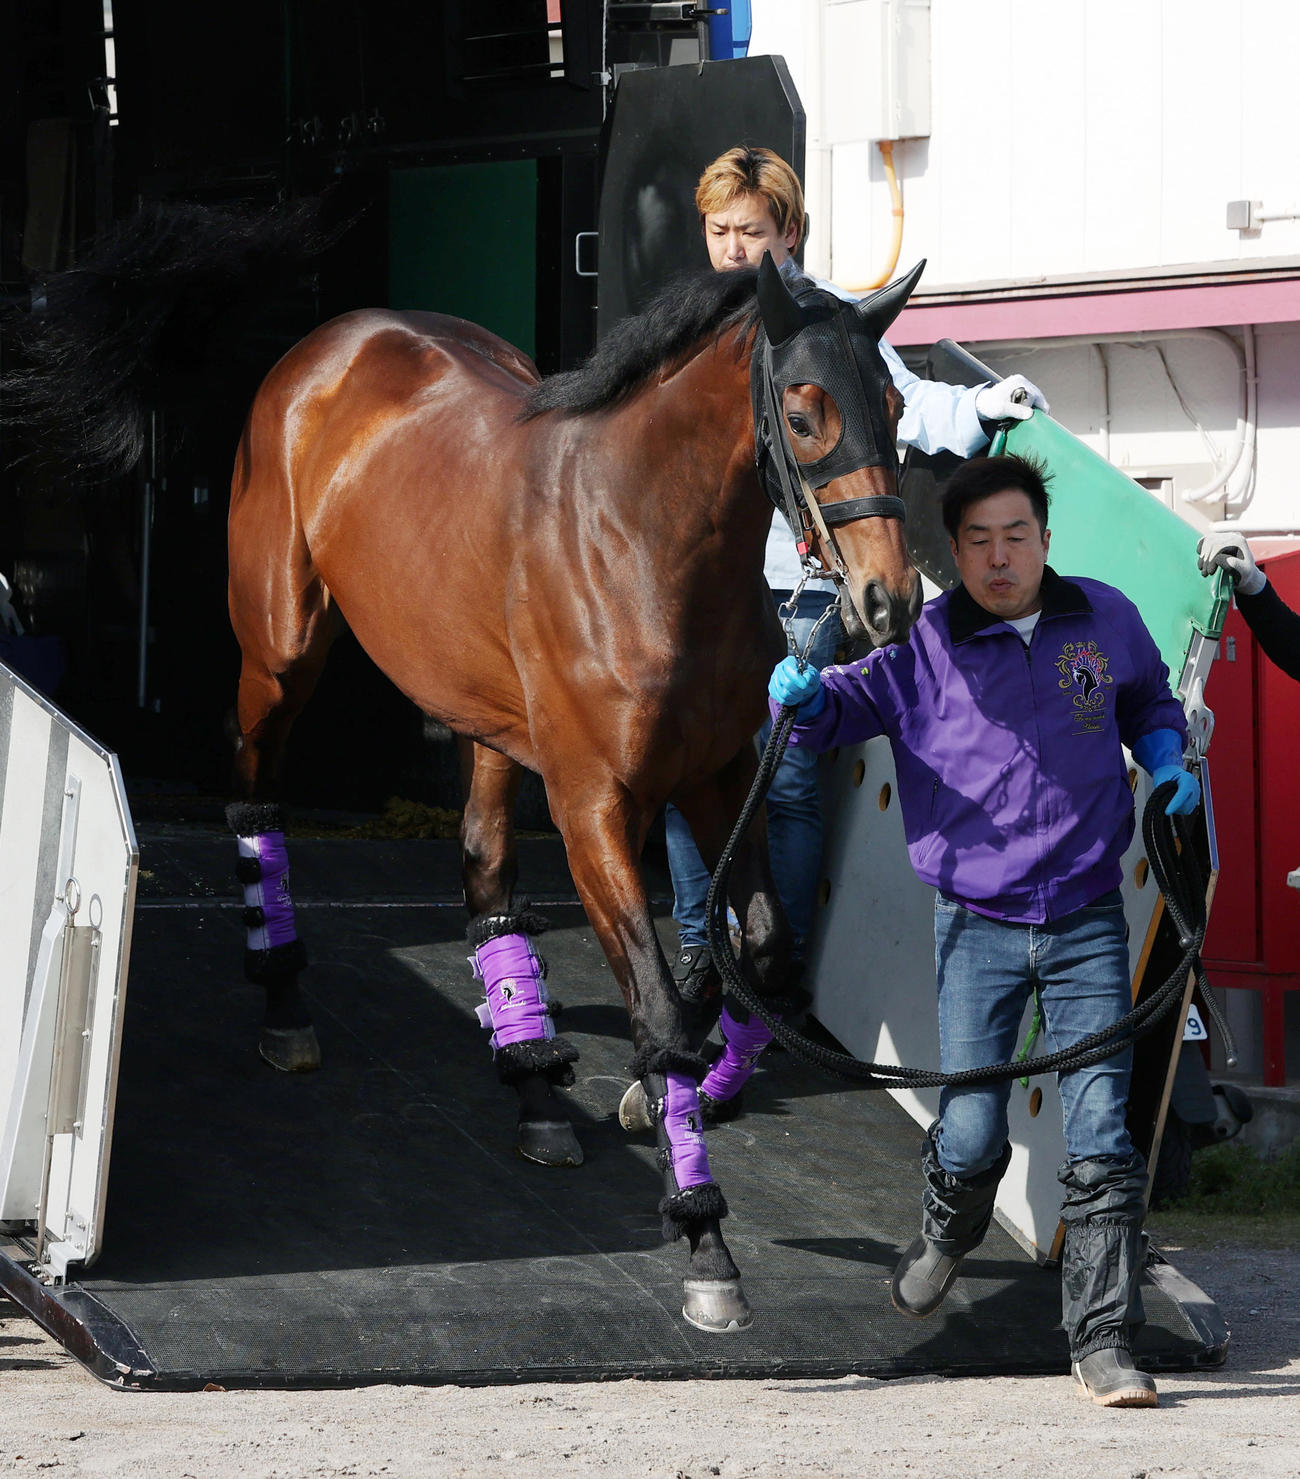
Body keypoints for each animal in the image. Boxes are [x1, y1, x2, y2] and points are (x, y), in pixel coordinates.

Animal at [222, 251, 925, 1332]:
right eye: (805, 412)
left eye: (891, 405)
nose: (891, 602)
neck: (646, 540)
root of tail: (334, 339)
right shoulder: (594, 806)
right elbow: (661, 1015)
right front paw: (704, 1237)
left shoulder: (719, 779)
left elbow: (754, 951)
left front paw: (676, 1088)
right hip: (280, 653)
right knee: (259, 800)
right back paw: (286, 1004)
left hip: (485, 719)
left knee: (485, 876)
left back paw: (535, 1089)